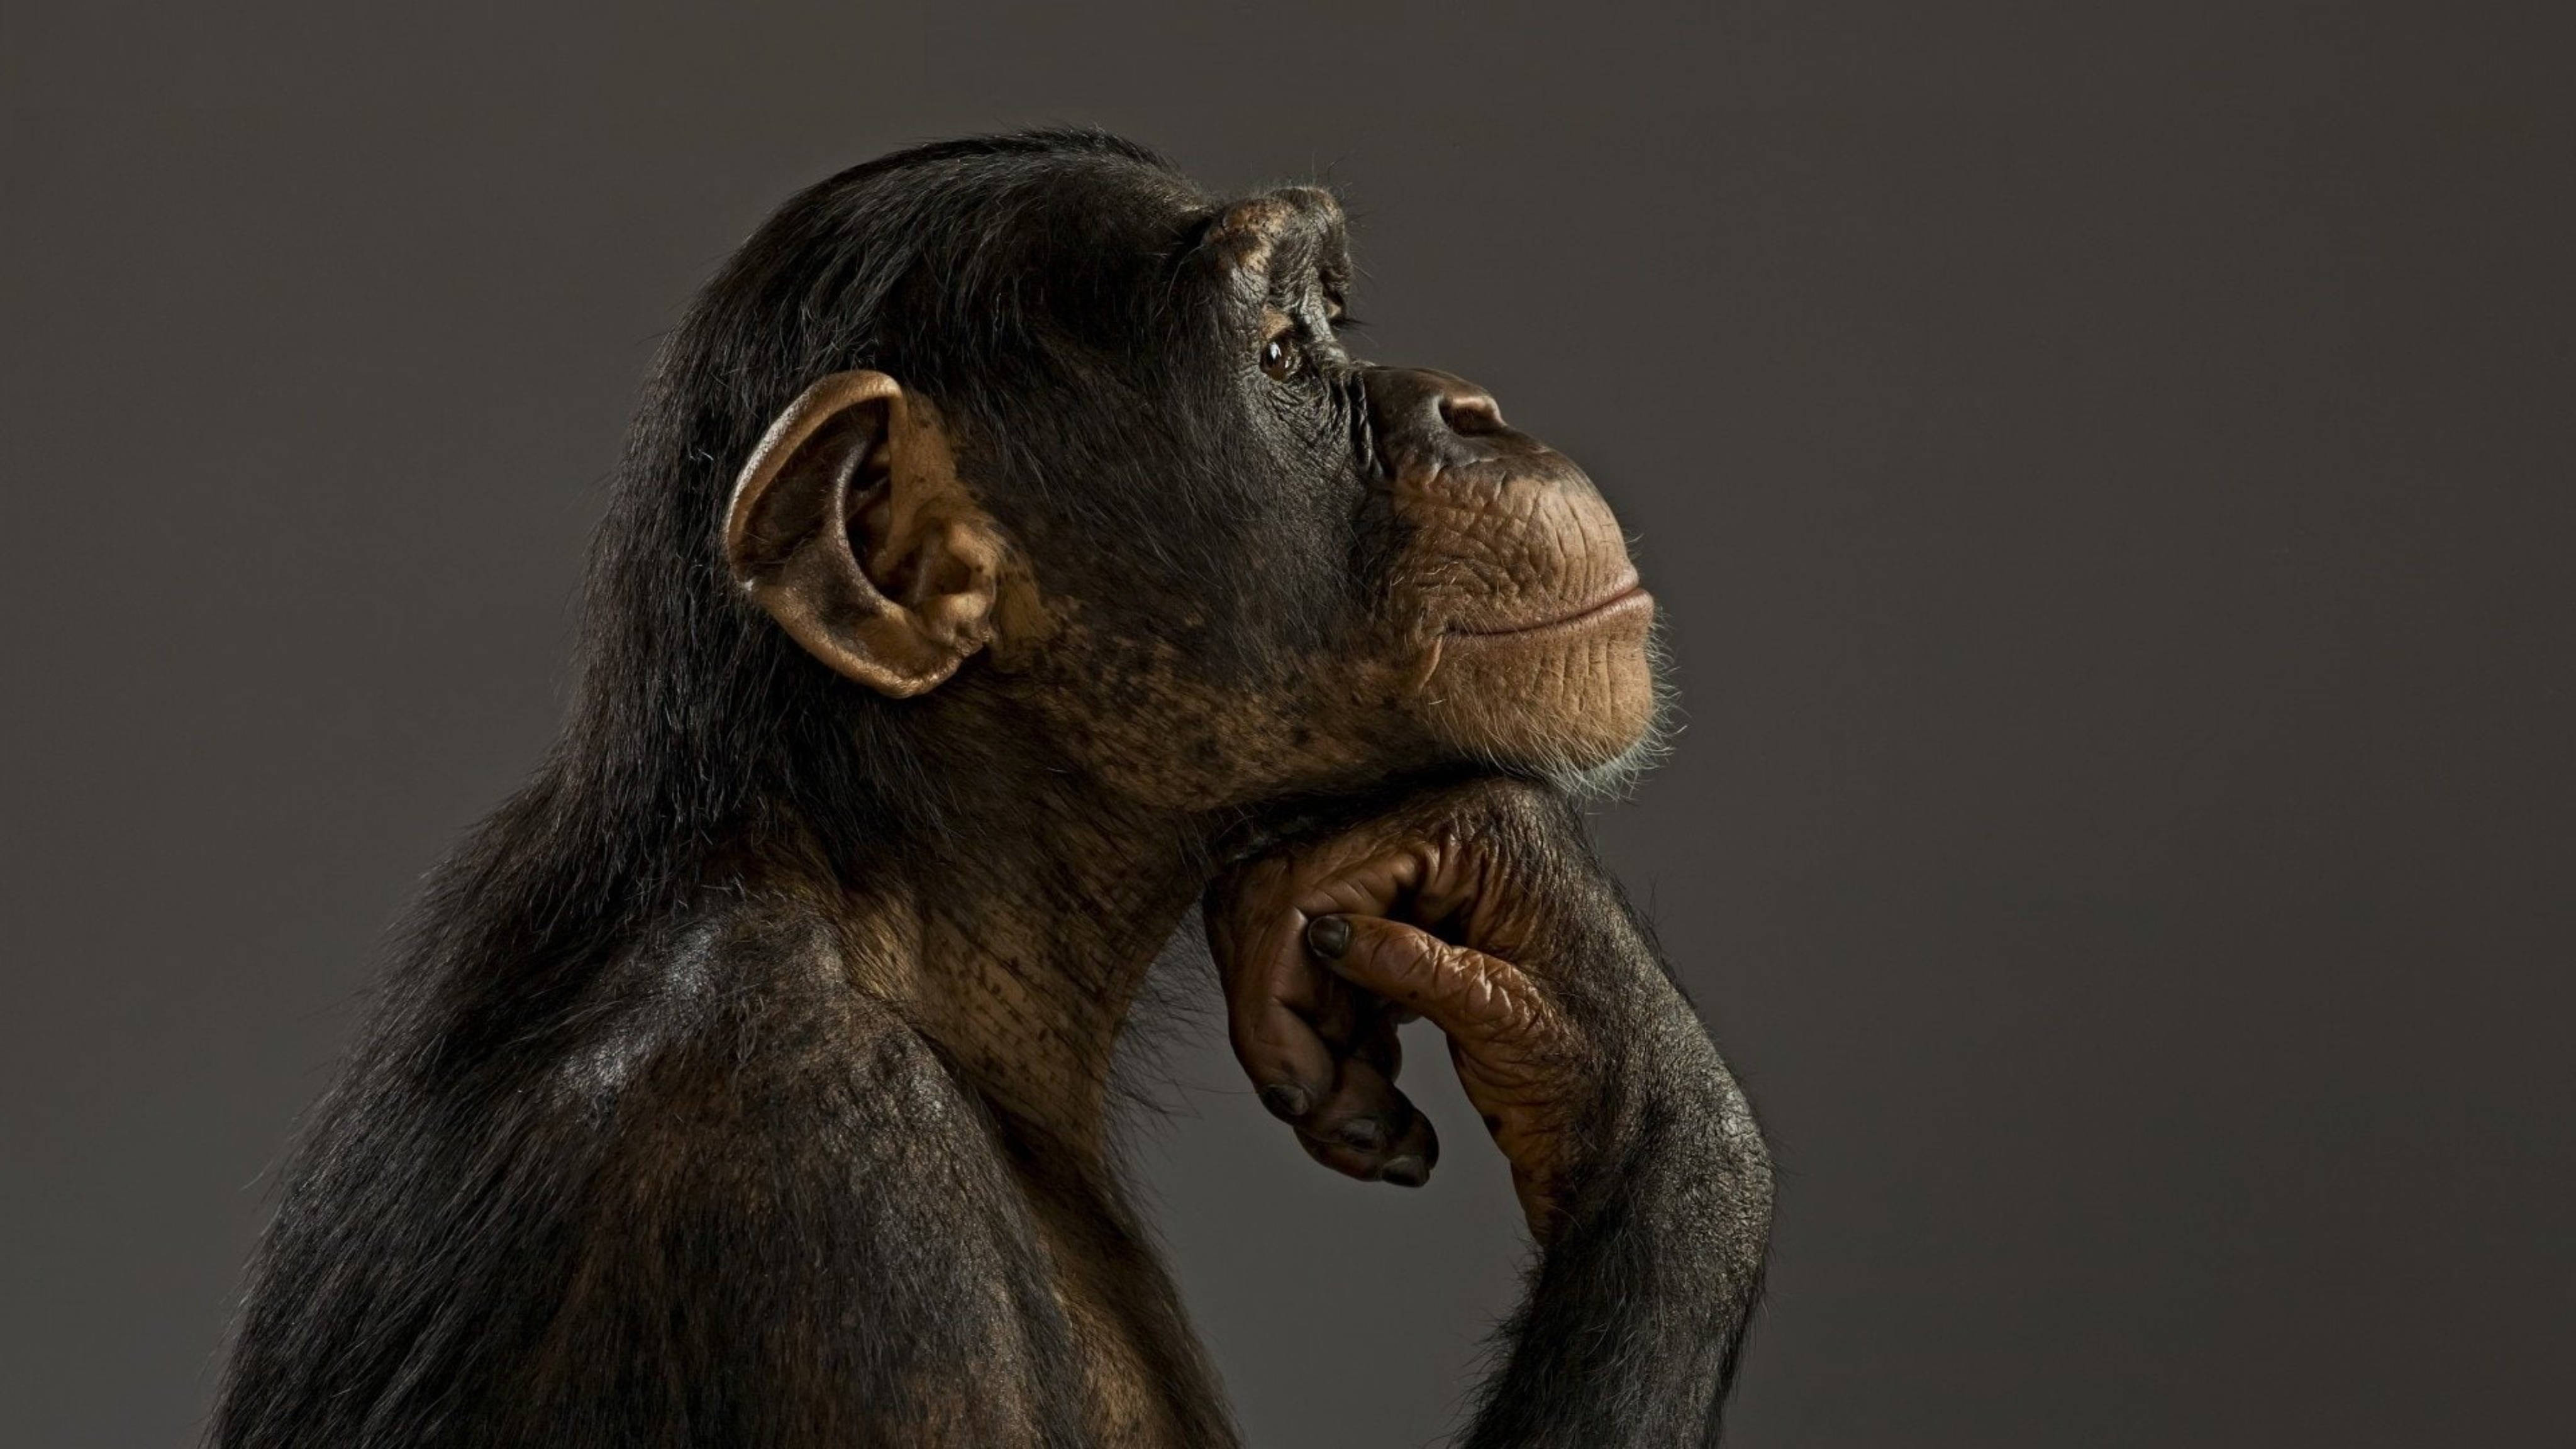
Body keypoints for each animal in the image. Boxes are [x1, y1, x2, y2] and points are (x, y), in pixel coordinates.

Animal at [212, 127, 1771, 1448]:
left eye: (1333, 320)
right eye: (1279, 353)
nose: (1473, 408)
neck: (891, 902)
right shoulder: (824, 1202)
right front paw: (1615, 1034)